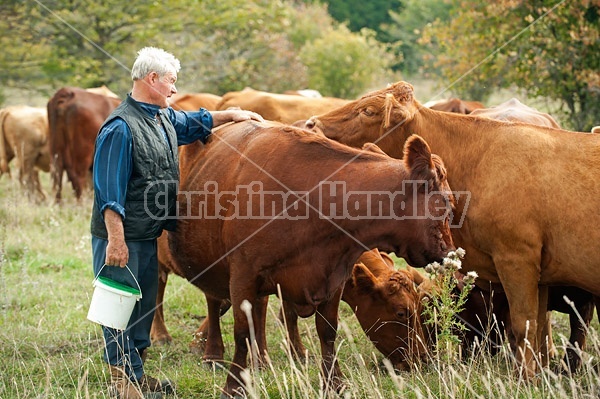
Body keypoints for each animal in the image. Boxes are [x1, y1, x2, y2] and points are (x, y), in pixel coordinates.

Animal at [166, 121, 452, 396]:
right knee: (214, 303)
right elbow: (242, 331)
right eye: (402, 312)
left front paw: (334, 383)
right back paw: (213, 354)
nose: (423, 359)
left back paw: (262, 359)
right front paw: (234, 386)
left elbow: (326, 331)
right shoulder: (243, 276)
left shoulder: (334, 277)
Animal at [308, 79, 600, 380]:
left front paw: (525, 379)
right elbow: (538, 328)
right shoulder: (540, 276)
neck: (478, 160)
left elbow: (523, 326)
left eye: (367, 110)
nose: (310, 124)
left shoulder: (517, 261)